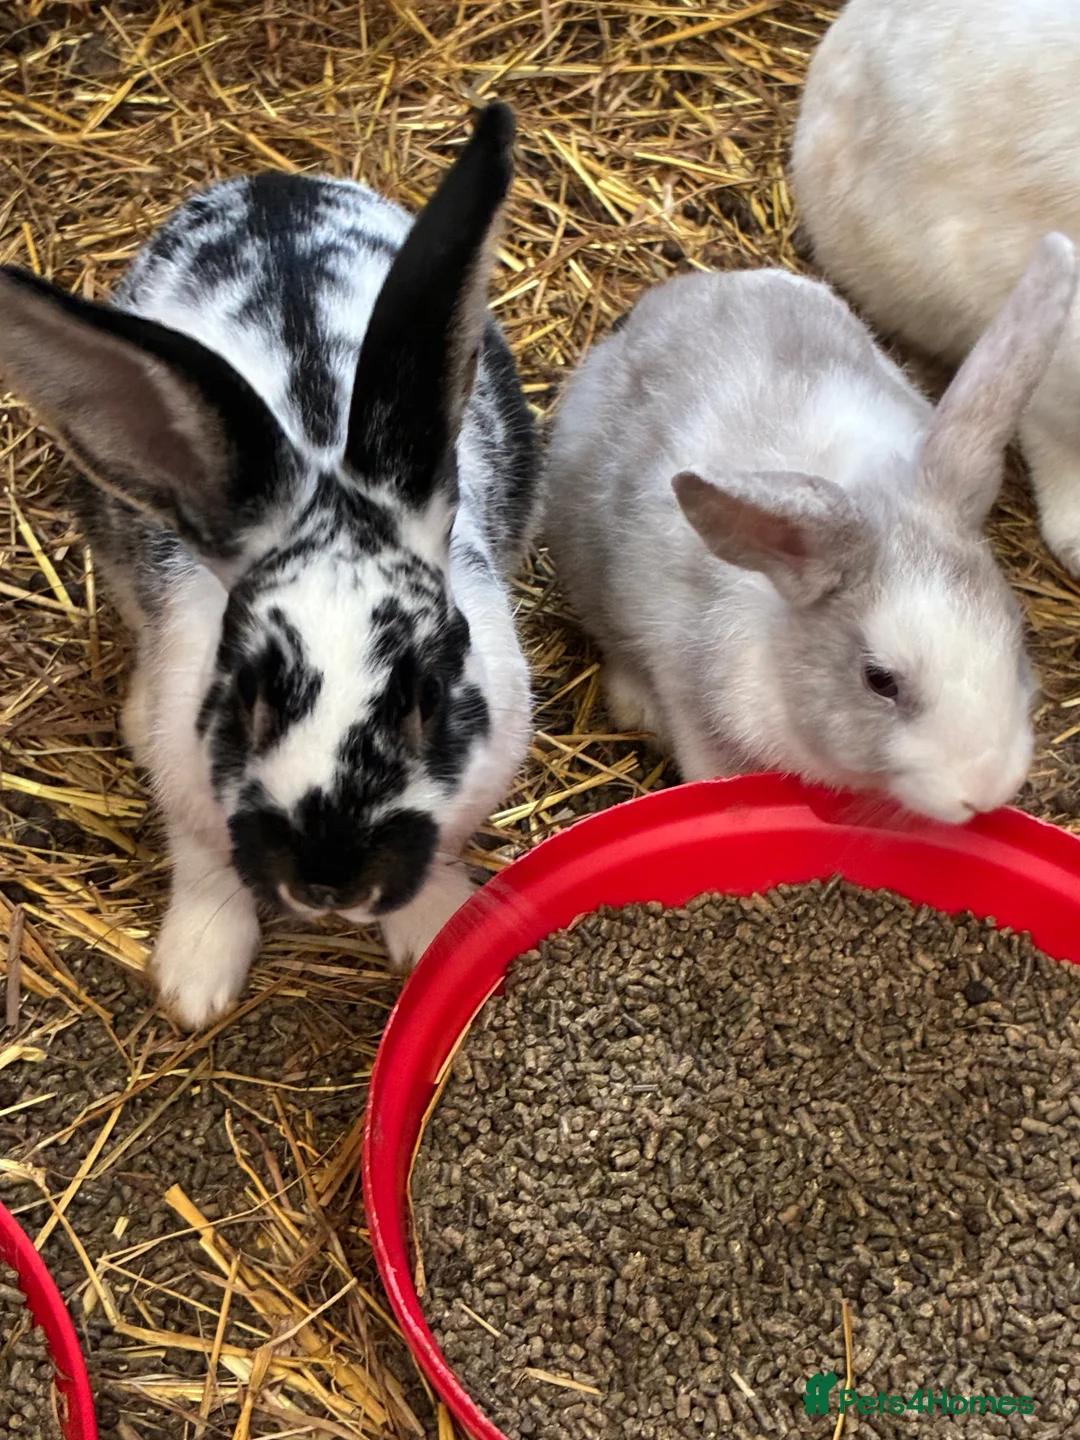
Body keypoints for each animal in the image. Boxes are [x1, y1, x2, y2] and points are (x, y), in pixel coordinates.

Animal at [0, 102, 540, 1031]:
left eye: (428, 695)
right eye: (247, 691)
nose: (328, 877)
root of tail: (271, 183)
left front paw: (435, 931)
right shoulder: (189, 778)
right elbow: (204, 863)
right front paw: (195, 981)